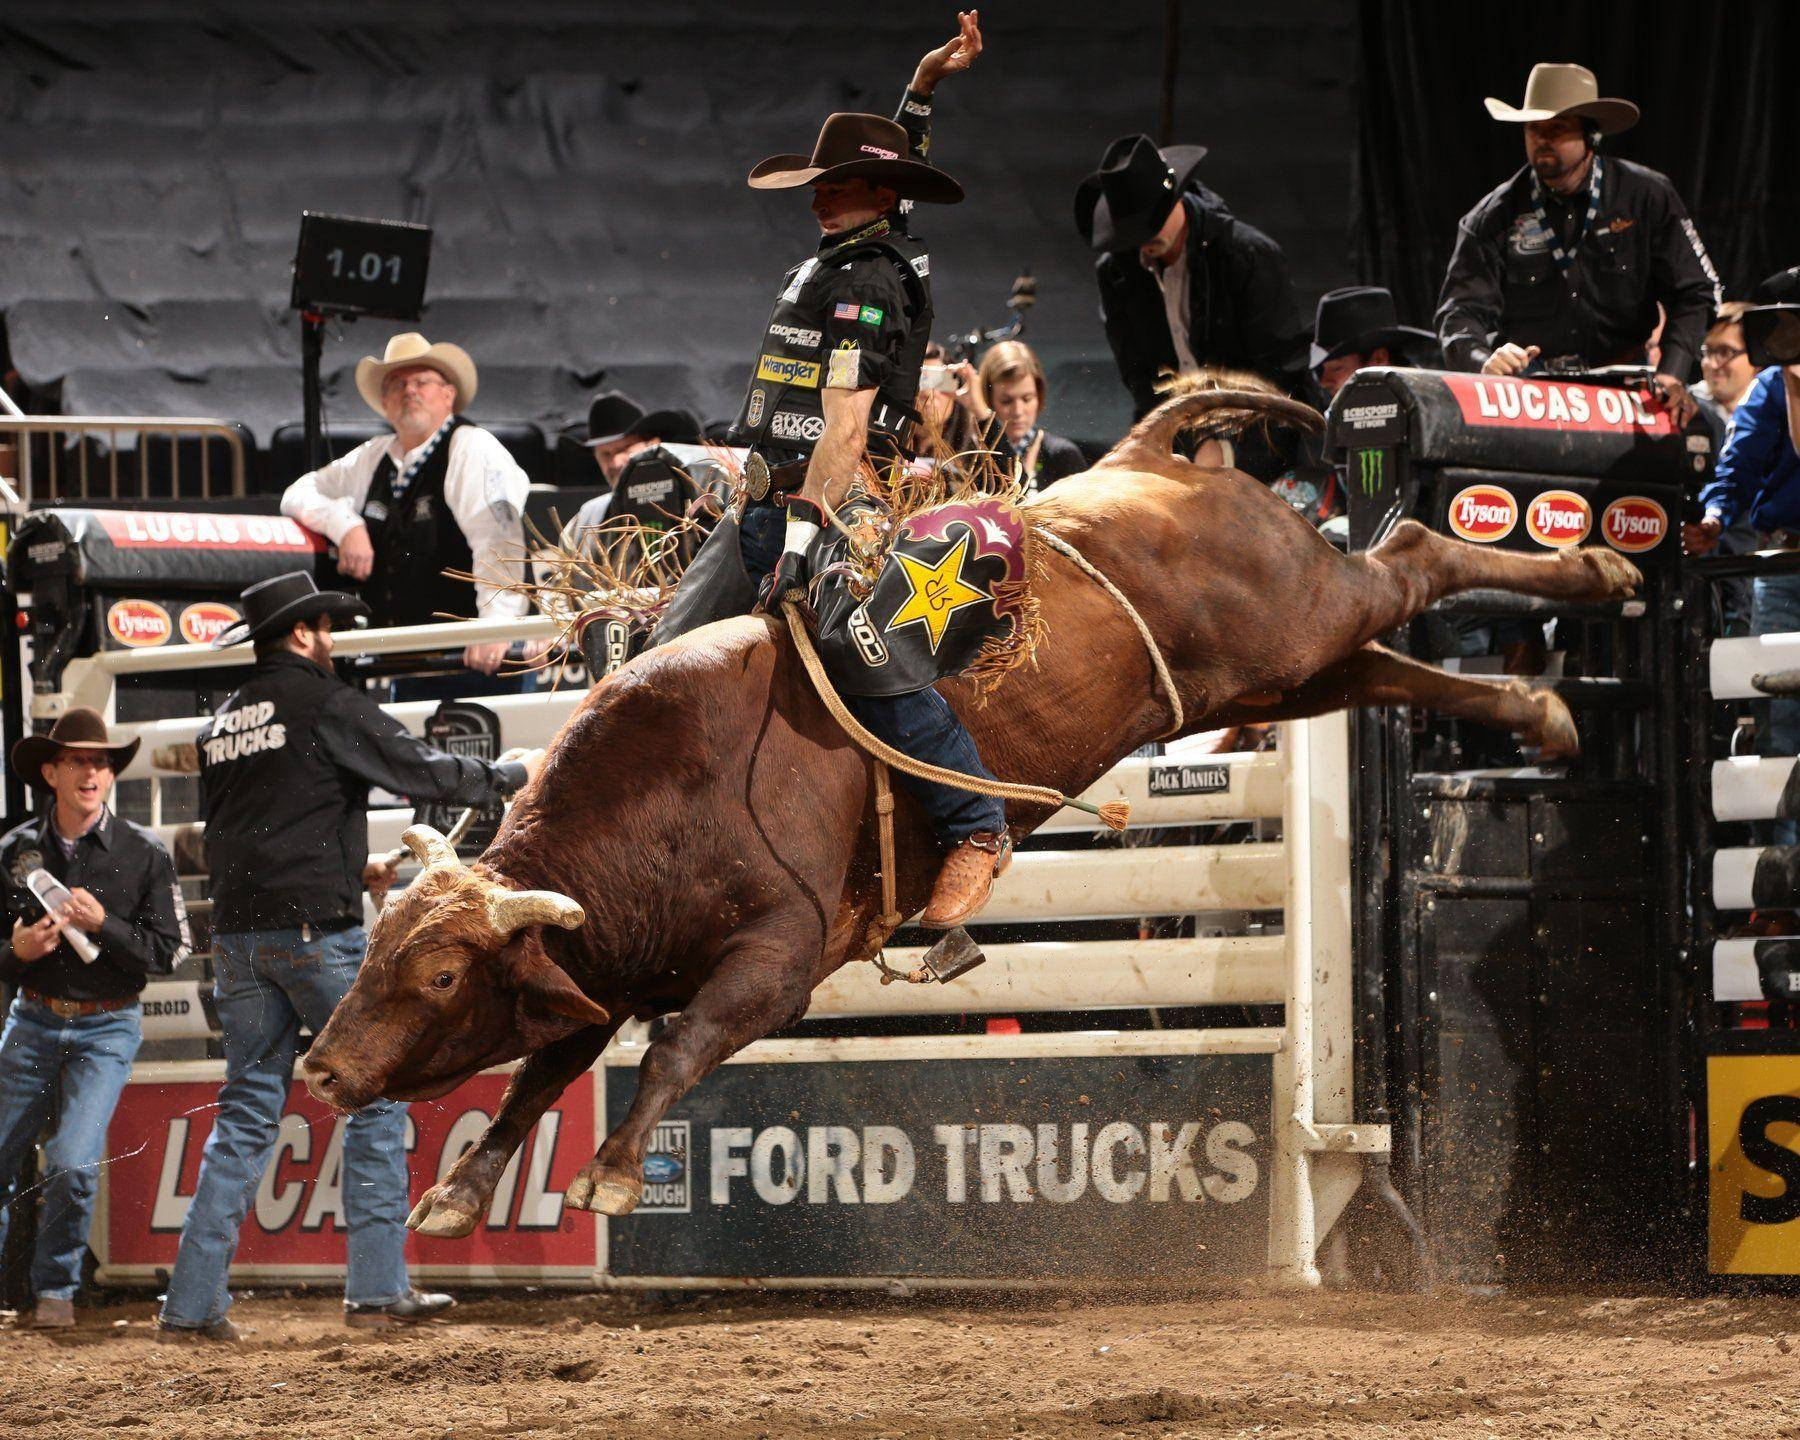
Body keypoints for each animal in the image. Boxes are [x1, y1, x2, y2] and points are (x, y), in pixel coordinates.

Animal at [302, 388, 1641, 1231]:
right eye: (375, 951)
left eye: (437, 976)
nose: (320, 1069)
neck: (660, 809)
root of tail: (1147, 457)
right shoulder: (603, 964)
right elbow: (544, 1069)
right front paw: (459, 1194)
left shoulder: (780, 959)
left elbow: (680, 1047)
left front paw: (616, 1178)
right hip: (1284, 668)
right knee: (1392, 654)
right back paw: (1543, 711)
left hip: (1300, 610)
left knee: (1412, 550)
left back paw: (1598, 568)